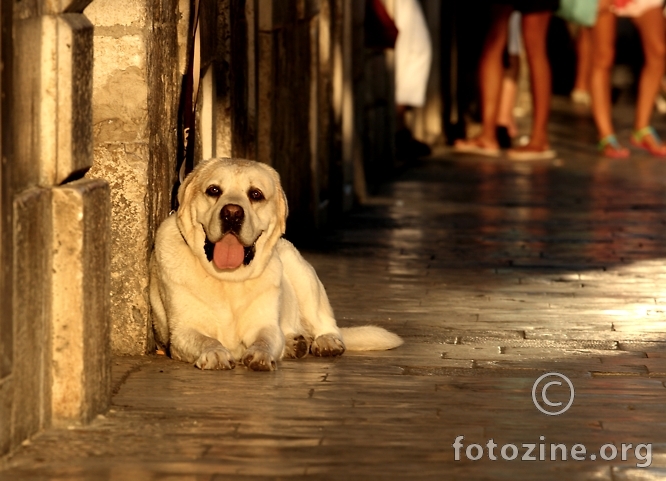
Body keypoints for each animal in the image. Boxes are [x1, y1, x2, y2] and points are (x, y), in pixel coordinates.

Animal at [150, 158, 400, 372]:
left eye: (256, 194)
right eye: (213, 190)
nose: (232, 213)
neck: (228, 278)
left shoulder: (265, 324)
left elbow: (265, 340)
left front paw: (260, 356)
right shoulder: (183, 331)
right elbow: (205, 340)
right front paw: (216, 353)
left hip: (302, 273)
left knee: (326, 322)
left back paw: (326, 341)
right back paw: (294, 344)